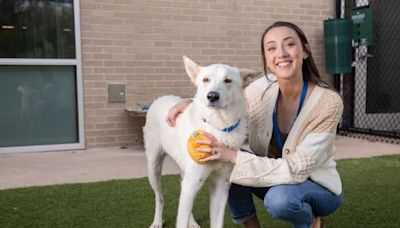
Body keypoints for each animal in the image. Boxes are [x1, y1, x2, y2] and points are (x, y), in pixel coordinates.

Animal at [142, 55, 260, 228]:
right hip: (153, 167)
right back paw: (157, 221)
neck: (217, 127)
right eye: (205, 79)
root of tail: (160, 98)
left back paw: (192, 222)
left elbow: (216, 223)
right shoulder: (192, 183)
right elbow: (180, 220)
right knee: (159, 196)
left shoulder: (220, 186)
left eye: (228, 80)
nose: (212, 96)